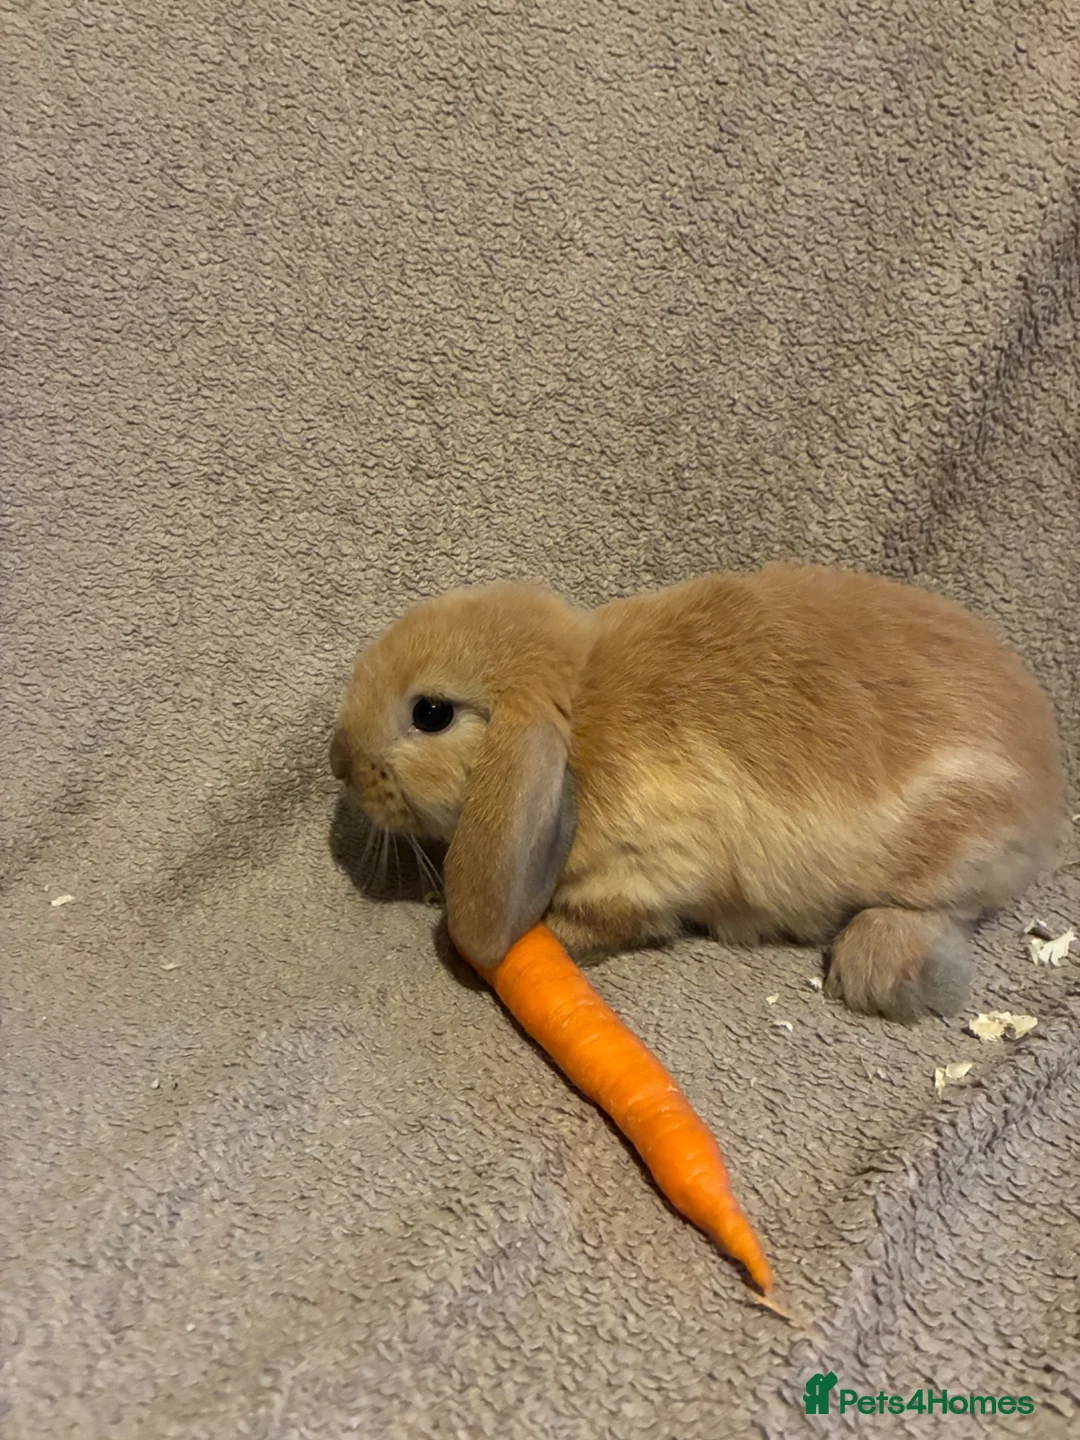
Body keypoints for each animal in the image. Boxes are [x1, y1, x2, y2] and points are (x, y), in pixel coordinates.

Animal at [329, 564, 1065, 1022]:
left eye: (430, 713)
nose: (340, 763)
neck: (579, 717)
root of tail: (1047, 784)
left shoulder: (646, 869)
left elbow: (605, 919)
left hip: (953, 845)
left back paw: (878, 966)